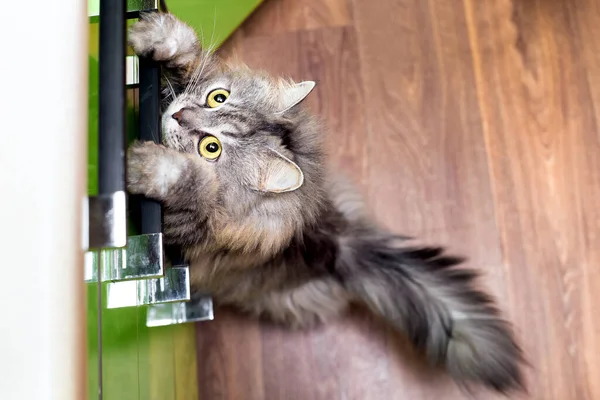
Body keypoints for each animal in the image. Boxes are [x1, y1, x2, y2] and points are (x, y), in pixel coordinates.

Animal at [126, 11, 524, 394]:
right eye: (217, 97)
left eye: (211, 148)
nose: (178, 115)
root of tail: (339, 240)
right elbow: (190, 54)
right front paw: (159, 36)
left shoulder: (189, 228)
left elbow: (189, 182)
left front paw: (150, 165)